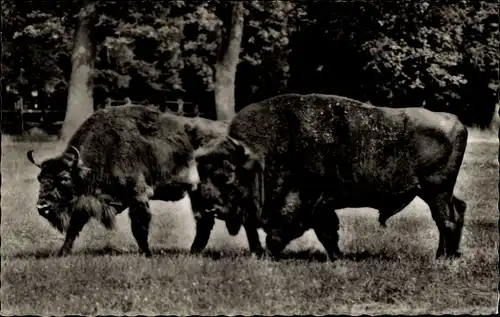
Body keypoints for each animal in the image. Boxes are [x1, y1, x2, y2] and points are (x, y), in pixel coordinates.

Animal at [27, 105, 264, 256]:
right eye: (40, 178)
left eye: (64, 178)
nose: (42, 206)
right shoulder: (87, 202)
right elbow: (74, 227)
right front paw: (62, 253)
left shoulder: (138, 195)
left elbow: (139, 228)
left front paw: (147, 254)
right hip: (198, 192)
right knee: (205, 222)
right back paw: (194, 252)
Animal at [195, 93, 468, 260]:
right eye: (202, 174)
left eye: (226, 175)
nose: (210, 208)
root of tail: (456, 121)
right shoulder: (321, 207)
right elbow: (326, 233)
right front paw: (338, 257)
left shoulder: (306, 202)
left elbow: (283, 232)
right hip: (436, 192)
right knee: (457, 211)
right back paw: (449, 255)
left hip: (436, 190)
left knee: (446, 220)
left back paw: (442, 258)